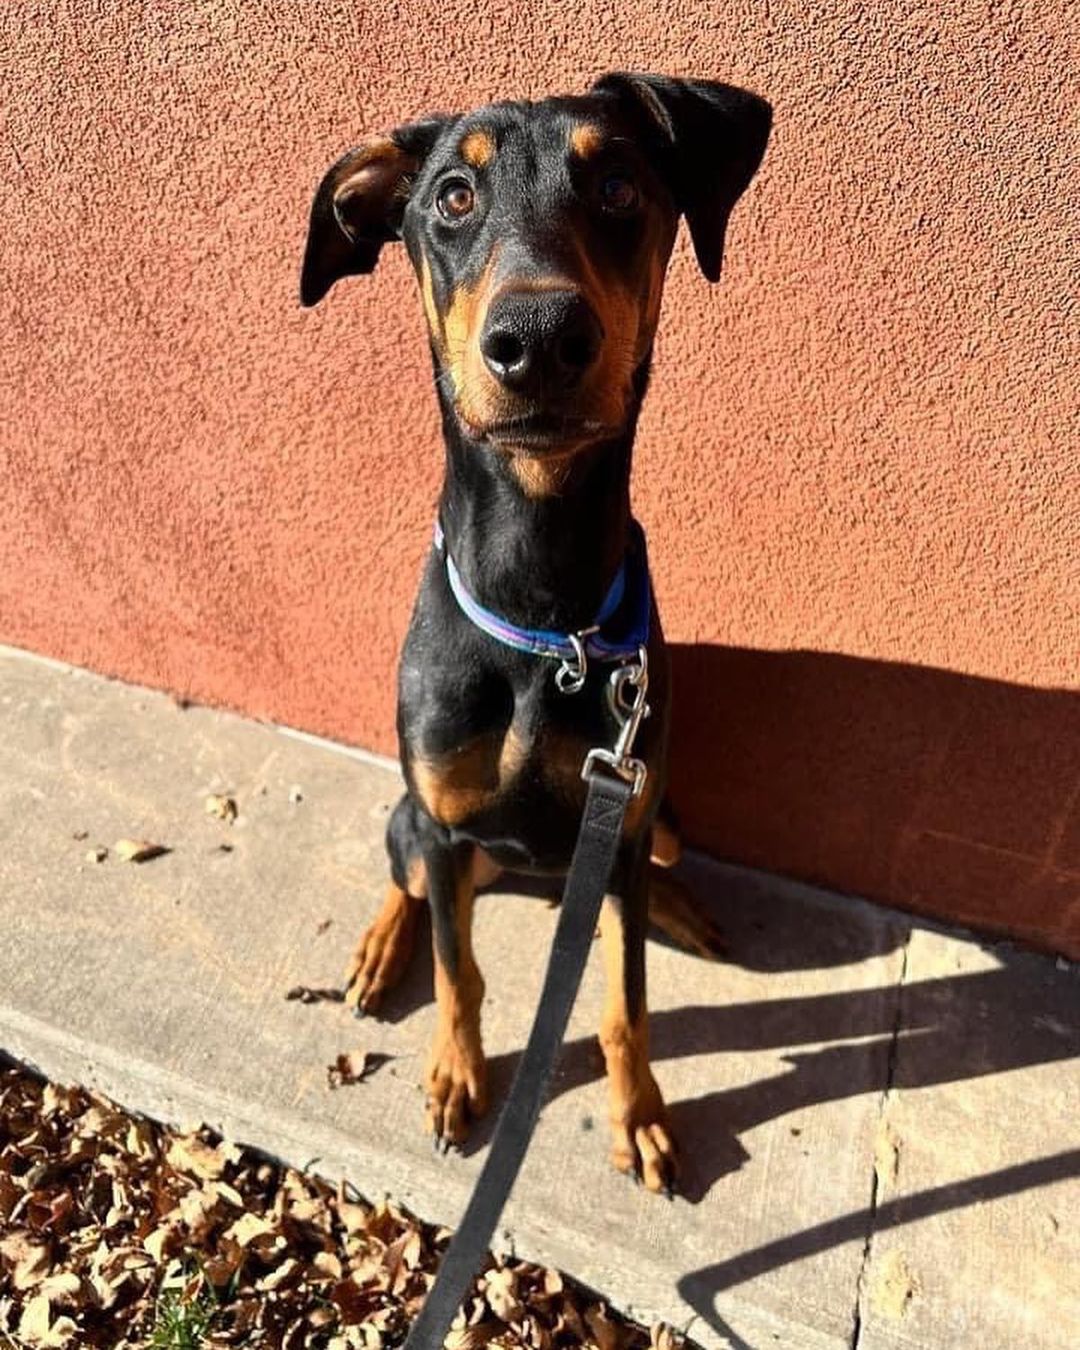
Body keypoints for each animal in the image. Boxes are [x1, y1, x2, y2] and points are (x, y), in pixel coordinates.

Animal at [303, 73, 772, 1193]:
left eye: (617, 185)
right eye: (453, 196)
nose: (540, 338)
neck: (543, 619)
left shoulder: (622, 805)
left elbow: (624, 1000)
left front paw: (639, 1115)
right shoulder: (442, 817)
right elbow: (460, 970)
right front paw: (455, 1075)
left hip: (653, 813)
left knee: (640, 872)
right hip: (425, 820)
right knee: (412, 871)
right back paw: (382, 949)